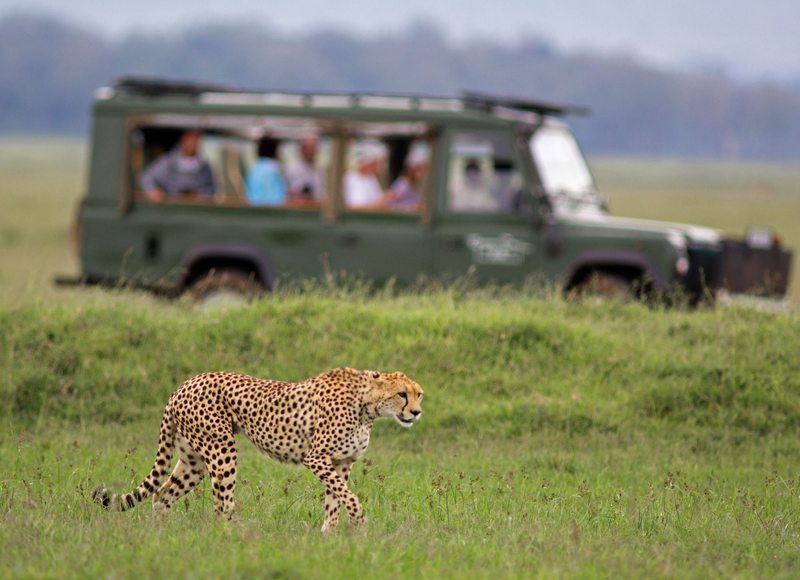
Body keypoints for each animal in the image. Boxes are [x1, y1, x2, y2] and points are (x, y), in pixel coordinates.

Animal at [92, 367, 424, 532]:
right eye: (402, 394)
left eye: (419, 394)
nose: (417, 412)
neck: (368, 405)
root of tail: (183, 385)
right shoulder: (316, 458)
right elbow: (349, 498)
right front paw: (360, 525)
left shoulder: (341, 462)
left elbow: (335, 501)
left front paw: (330, 537)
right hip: (221, 449)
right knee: (221, 505)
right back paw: (234, 538)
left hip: (193, 461)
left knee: (161, 495)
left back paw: (162, 537)